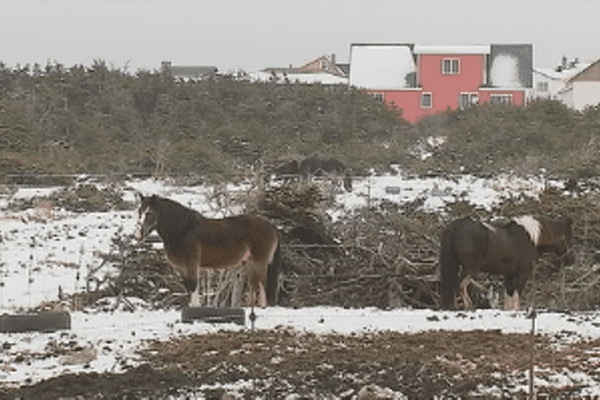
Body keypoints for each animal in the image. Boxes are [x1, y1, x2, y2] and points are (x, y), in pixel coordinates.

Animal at [135, 195, 280, 308]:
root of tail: (271, 226)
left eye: (149, 212)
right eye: (139, 211)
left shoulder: (191, 265)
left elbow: (193, 286)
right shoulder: (181, 268)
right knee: (254, 286)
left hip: (259, 262)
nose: (138, 235)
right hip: (250, 263)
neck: (184, 230)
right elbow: (188, 287)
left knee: (262, 286)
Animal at [438, 216, 576, 310]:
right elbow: (517, 293)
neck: (531, 239)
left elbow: (509, 294)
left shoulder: (509, 274)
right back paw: (468, 306)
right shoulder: (523, 273)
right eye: (569, 238)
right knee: (460, 285)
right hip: (471, 268)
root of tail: (455, 227)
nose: (571, 260)